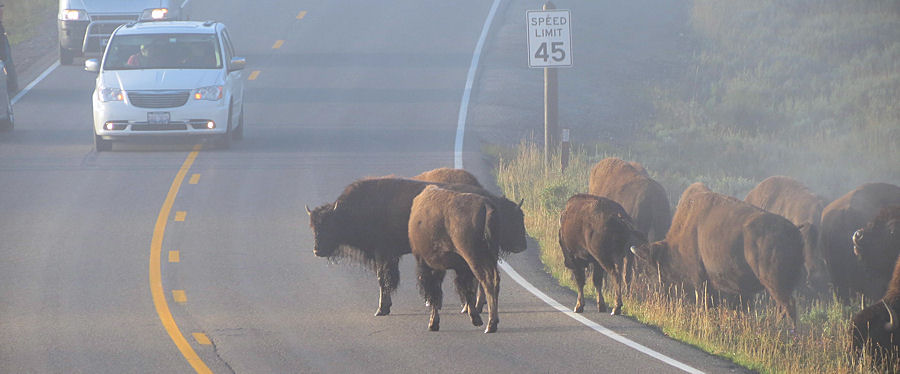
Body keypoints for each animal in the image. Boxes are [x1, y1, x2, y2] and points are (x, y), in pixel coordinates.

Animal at [308, 178, 528, 316]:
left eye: (328, 225)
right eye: (314, 226)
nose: (317, 250)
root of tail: (489, 202)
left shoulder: (384, 254)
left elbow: (383, 279)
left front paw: (381, 309)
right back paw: (472, 306)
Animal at [410, 186, 502, 334]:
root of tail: (485, 205)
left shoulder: (428, 264)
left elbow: (436, 292)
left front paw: (433, 323)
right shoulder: (459, 267)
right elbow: (466, 288)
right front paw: (474, 317)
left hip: (474, 256)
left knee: (487, 280)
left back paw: (491, 325)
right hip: (490, 254)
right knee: (493, 280)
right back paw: (490, 322)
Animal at [624, 183, 800, 322]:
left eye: (658, 269)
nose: (661, 297)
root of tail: (794, 231)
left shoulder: (701, 279)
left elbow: (705, 302)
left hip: (774, 283)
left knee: (788, 306)